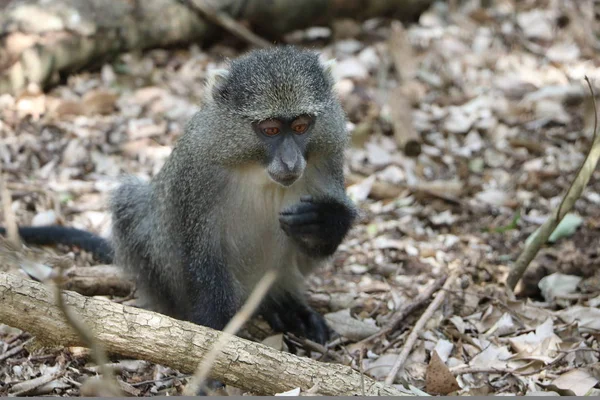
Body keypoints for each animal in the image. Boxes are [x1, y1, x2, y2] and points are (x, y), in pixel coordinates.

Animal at [1, 46, 356, 344]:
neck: (254, 168)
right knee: (132, 202)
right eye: (269, 129)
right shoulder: (197, 175)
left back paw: (282, 303)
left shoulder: (327, 159)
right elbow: (203, 258)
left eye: (301, 126)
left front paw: (324, 221)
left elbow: (316, 246)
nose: (291, 161)